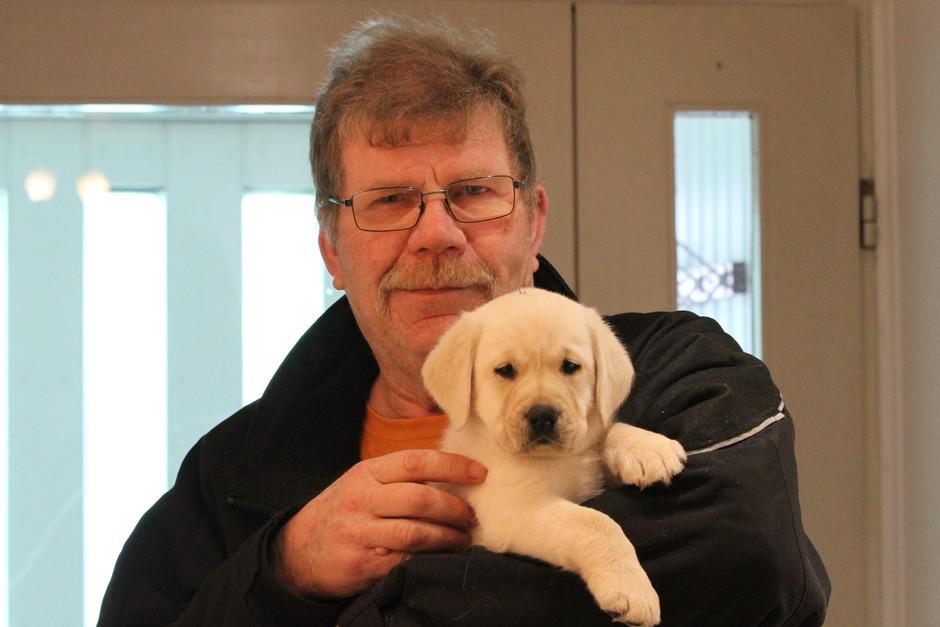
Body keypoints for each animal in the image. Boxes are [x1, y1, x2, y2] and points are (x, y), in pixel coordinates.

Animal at [421, 288, 686, 626]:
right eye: (505, 370)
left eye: (570, 366)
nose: (543, 416)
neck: (552, 460)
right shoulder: (514, 509)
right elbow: (595, 522)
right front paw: (631, 589)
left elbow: (606, 430)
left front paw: (647, 448)